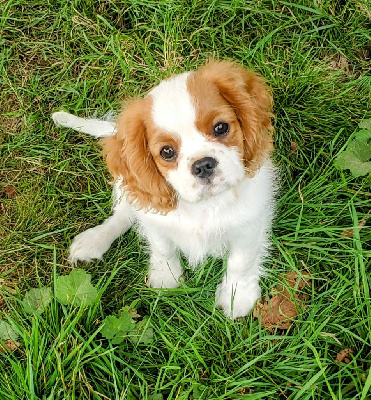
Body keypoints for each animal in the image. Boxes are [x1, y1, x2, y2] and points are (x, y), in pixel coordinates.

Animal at [53, 61, 278, 318]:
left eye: (221, 128)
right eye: (167, 152)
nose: (203, 165)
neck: (204, 204)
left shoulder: (249, 225)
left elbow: (241, 262)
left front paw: (237, 295)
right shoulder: (155, 220)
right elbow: (162, 247)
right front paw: (166, 277)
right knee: (124, 214)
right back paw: (95, 239)